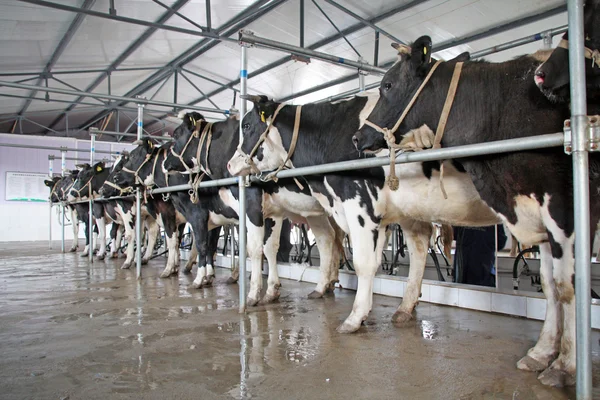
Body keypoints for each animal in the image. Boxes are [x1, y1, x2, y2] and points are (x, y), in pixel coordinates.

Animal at [163, 111, 346, 304]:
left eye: (176, 134)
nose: (164, 164)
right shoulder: (272, 211)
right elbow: (269, 247)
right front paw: (271, 290)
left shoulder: (214, 211)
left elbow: (248, 247)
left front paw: (251, 293)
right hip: (315, 212)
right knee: (326, 238)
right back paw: (321, 287)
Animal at [352, 37, 600, 388]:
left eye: (387, 84)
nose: (357, 137)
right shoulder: (538, 215)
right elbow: (550, 285)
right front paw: (541, 353)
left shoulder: (567, 204)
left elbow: (568, 286)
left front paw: (565, 365)